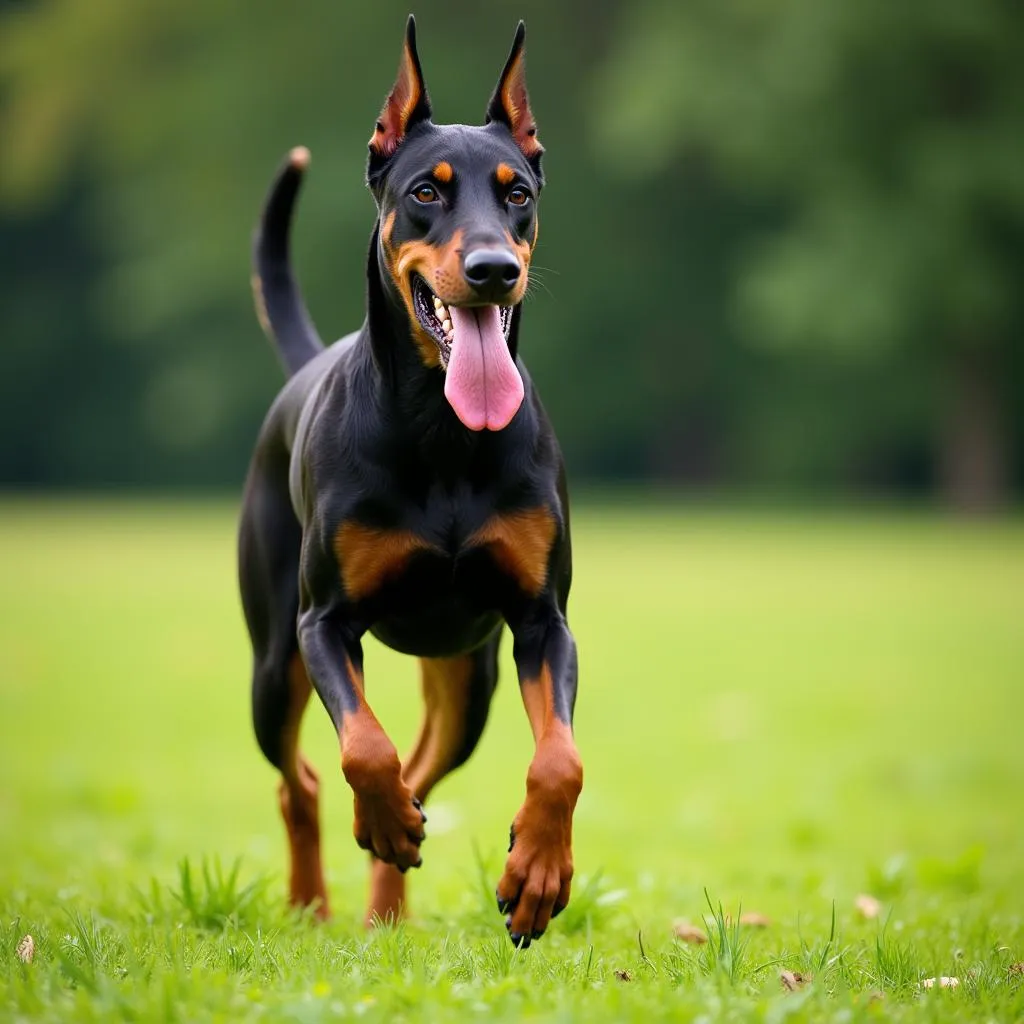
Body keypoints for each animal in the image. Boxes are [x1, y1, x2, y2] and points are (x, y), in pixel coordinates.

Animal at [235, 16, 581, 946]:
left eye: (517, 193)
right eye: (426, 191)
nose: (496, 268)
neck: (443, 432)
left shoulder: (541, 622)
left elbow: (560, 761)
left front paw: (537, 873)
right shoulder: (324, 622)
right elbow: (364, 745)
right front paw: (384, 820)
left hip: (469, 678)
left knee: (427, 767)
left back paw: (387, 897)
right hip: (272, 663)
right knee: (302, 780)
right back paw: (319, 896)